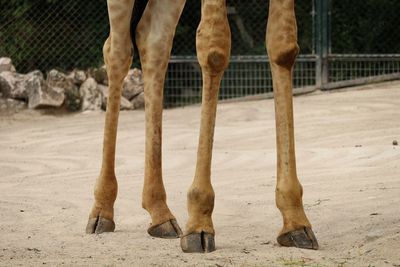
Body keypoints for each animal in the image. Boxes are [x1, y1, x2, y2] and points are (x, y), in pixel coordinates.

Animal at [85, 0, 318, 253]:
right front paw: (199, 224)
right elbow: (214, 47)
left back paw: (160, 215)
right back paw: (101, 211)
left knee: (153, 40)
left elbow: (283, 47)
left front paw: (296, 221)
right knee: (116, 50)